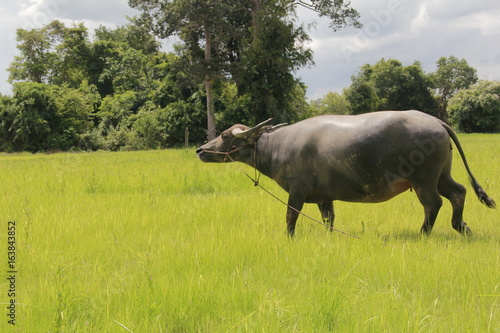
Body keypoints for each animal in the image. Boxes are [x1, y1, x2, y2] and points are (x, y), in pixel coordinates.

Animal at [195, 111, 492, 236]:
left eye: (224, 136)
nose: (200, 150)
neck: (276, 145)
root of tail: (436, 121)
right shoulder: (325, 196)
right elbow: (329, 218)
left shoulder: (297, 190)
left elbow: (291, 216)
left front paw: (289, 237)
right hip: (442, 175)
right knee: (458, 192)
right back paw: (461, 227)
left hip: (424, 180)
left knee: (433, 203)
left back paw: (424, 232)